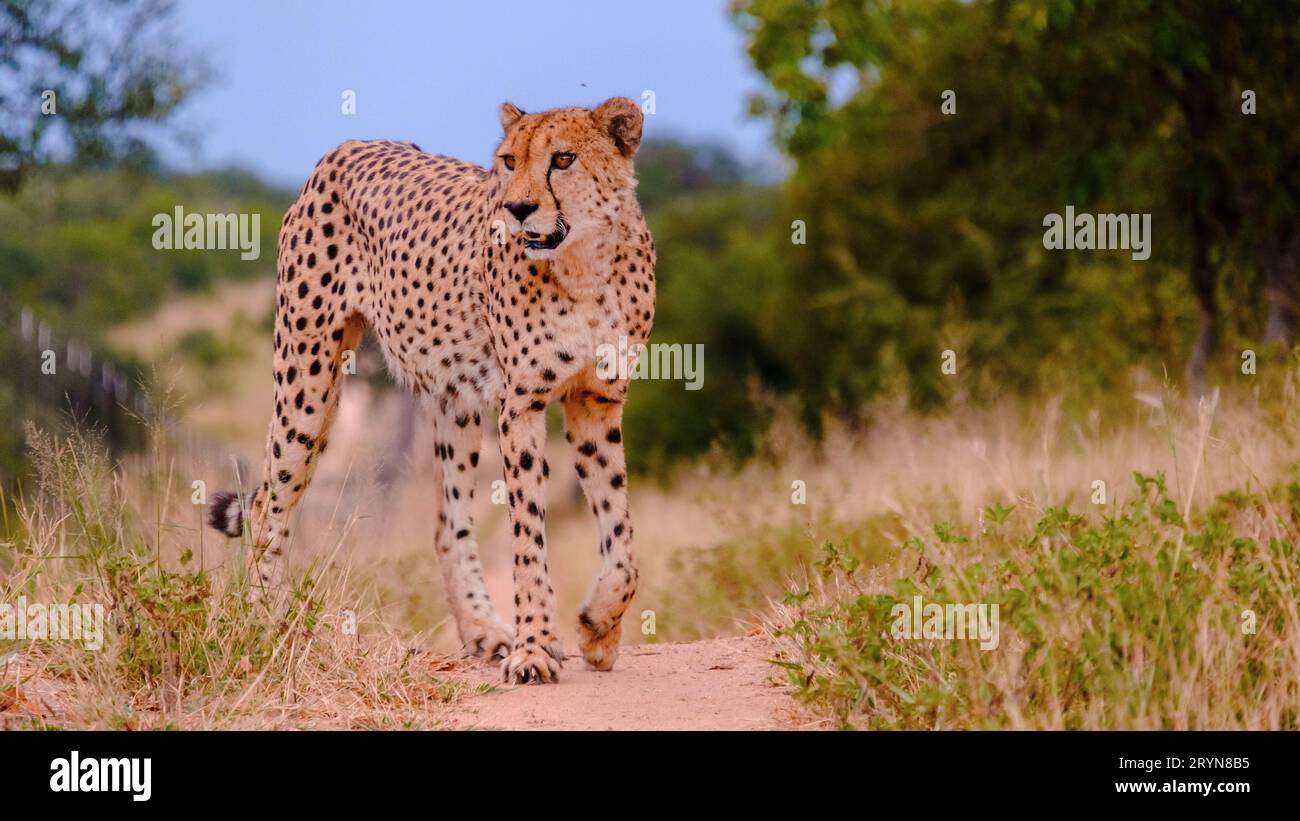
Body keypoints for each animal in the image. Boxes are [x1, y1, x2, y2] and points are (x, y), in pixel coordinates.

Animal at [208, 99, 655, 680]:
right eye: (509, 161)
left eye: (563, 159)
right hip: (309, 377)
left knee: (449, 524)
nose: (517, 208)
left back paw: (485, 632)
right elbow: (529, 538)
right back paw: (269, 628)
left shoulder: (597, 402)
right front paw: (536, 648)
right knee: (267, 502)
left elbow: (620, 532)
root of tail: (350, 144)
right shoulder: (522, 404)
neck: (585, 264)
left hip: (454, 397)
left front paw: (599, 628)